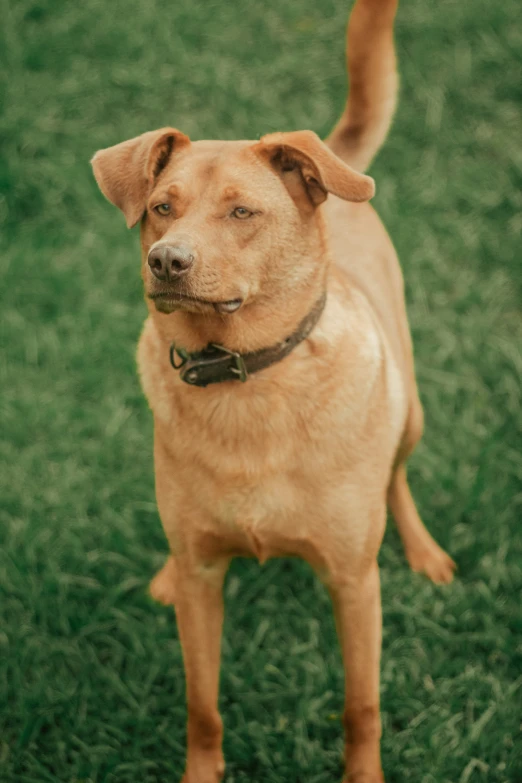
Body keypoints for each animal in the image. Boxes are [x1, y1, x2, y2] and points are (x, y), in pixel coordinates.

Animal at [91, 3, 452, 780]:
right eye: (160, 207)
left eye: (241, 213)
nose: (167, 261)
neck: (244, 377)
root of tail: (333, 163)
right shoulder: (205, 581)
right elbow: (202, 705)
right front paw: (200, 770)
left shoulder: (353, 584)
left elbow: (361, 707)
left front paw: (364, 772)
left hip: (410, 410)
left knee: (398, 475)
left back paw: (424, 550)